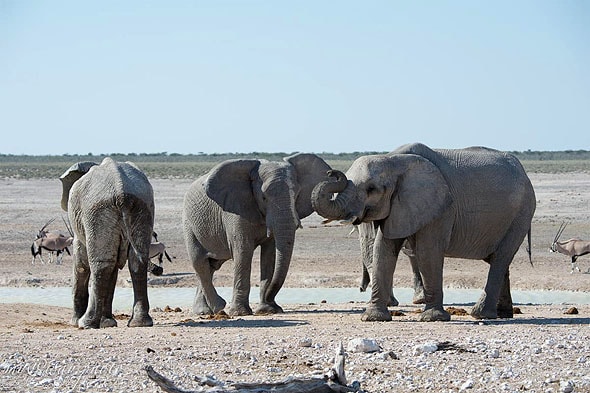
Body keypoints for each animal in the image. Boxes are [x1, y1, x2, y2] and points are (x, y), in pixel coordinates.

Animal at [60, 156, 155, 328]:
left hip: (98, 212)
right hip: (142, 208)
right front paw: (107, 323)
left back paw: (86, 323)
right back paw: (140, 323)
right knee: (137, 262)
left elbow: (81, 263)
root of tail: (122, 194)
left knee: (100, 264)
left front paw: (75, 322)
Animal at [183, 152, 336, 316]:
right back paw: (216, 308)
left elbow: (270, 254)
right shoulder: (236, 208)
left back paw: (206, 311)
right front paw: (241, 313)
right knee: (199, 262)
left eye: (296, 195)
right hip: (189, 223)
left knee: (212, 265)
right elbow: (243, 251)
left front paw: (268, 310)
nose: (271, 301)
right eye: (263, 197)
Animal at [312, 142, 540, 320]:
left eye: (371, 189)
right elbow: (383, 250)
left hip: (522, 212)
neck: (393, 160)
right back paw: (502, 314)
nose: (331, 173)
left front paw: (432, 318)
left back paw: (481, 314)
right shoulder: (398, 206)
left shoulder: (441, 206)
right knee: (499, 260)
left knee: (501, 258)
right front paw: (373, 318)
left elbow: (428, 252)